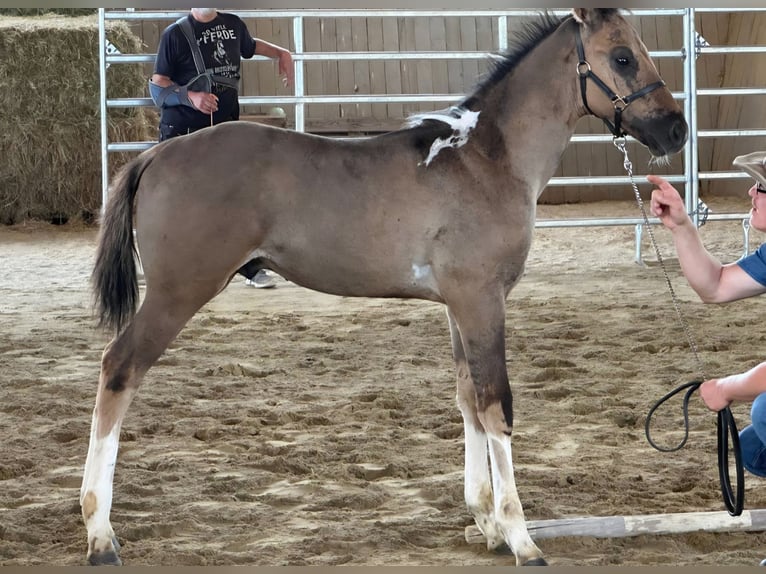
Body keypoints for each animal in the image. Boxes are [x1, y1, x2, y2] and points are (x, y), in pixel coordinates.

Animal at [81, 8, 687, 566]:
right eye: (623, 57)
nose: (676, 130)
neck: (485, 158)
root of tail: (156, 153)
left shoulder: (458, 306)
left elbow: (468, 398)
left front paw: (485, 522)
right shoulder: (482, 300)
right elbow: (496, 405)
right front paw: (520, 537)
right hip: (177, 293)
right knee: (119, 369)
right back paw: (99, 533)